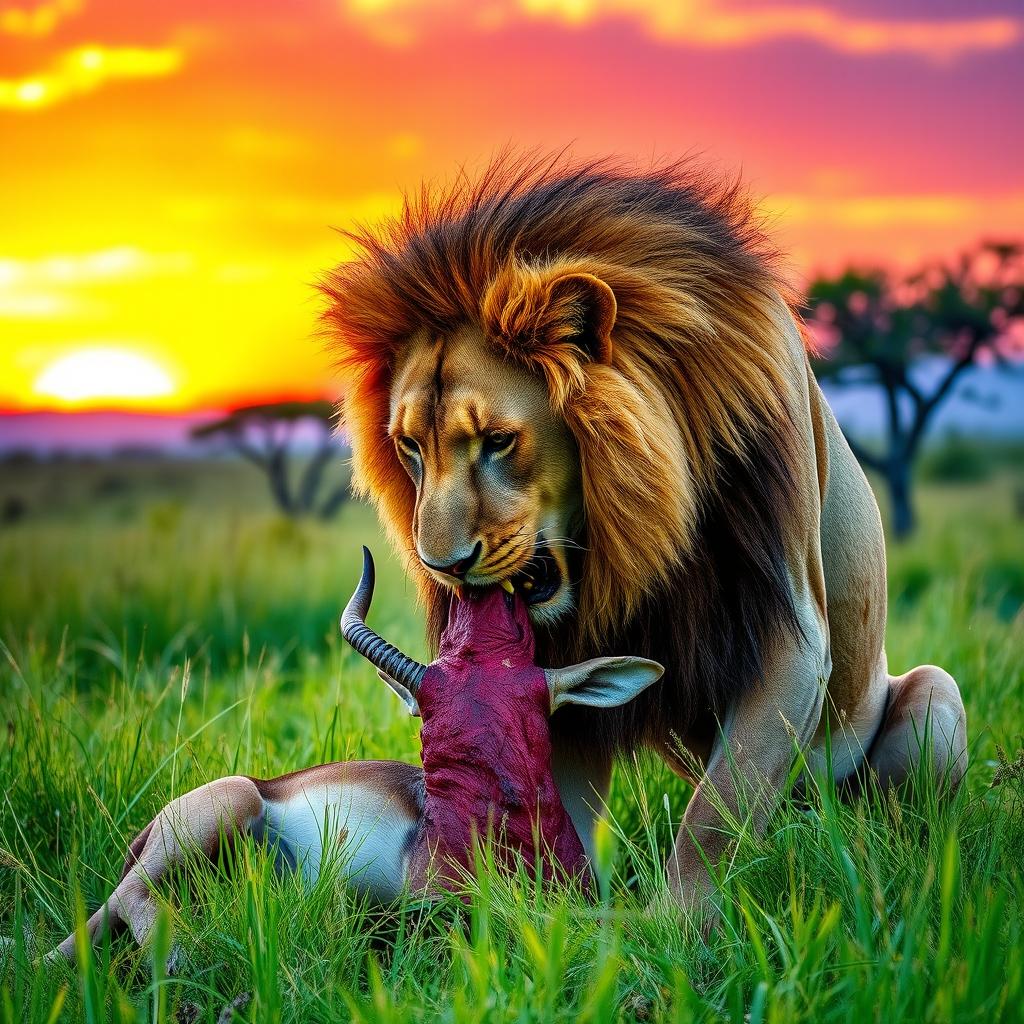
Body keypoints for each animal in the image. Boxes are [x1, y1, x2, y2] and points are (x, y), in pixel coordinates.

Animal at [320, 152, 968, 912]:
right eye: (410, 447)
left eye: (499, 441)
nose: (442, 565)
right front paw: (541, 912)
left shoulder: (794, 634)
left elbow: (717, 812)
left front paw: (673, 927)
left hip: (933, 701)